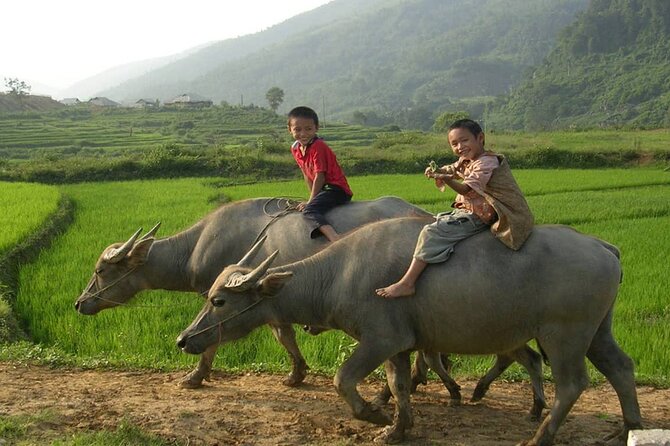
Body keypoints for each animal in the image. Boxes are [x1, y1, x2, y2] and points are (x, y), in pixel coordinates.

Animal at [178, 217, 644, 446]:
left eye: (218, 301)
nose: (184, 339)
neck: (338, 273)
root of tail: (604, 247)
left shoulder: (380, 339)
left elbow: (342, 379)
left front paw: (373, 414)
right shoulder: (401, 345)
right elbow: (399, 384)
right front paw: (397, 427)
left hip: (564, 334)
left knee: (573, 383)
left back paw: (540, 435)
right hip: (597, 331)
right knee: (621, 367)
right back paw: (628, 428)